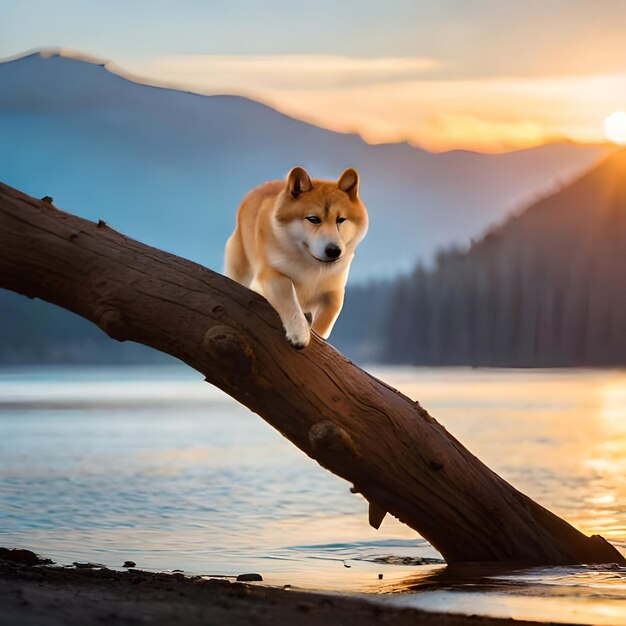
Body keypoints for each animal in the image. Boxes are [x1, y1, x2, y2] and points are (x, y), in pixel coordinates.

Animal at [225, 167, 366, 346]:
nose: (334, 251)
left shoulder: (334, 288)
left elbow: (328, 315)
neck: (311, 267)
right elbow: (289, 295)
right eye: (313, 219)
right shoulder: (270, 274)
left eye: (340, 219)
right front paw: (300, 334)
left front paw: (318, 335)